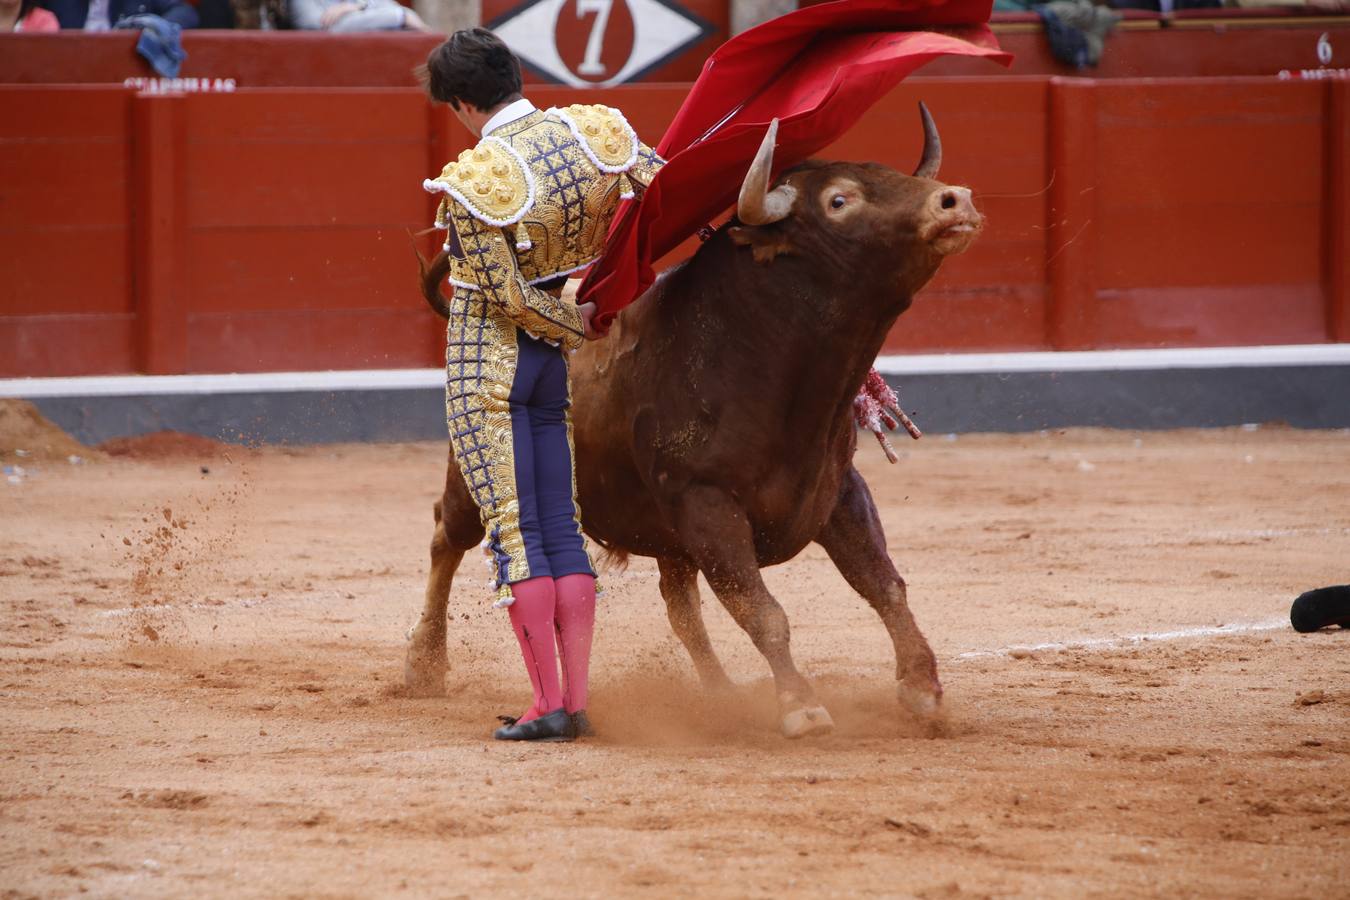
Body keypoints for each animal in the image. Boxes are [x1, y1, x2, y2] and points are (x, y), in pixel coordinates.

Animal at [405, 105, 988, 739]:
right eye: (839, 200)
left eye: (890, 173)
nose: (953, 200)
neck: (760, 357)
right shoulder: (705, 503)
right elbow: (762, 610)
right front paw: (801, 706)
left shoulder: (837, 490)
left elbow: (882, 583)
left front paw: (922, 689)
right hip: (475, 468)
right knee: (447, 537)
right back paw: (423, 665)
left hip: (666, 537)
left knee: (679, 606)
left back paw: (717, 693)